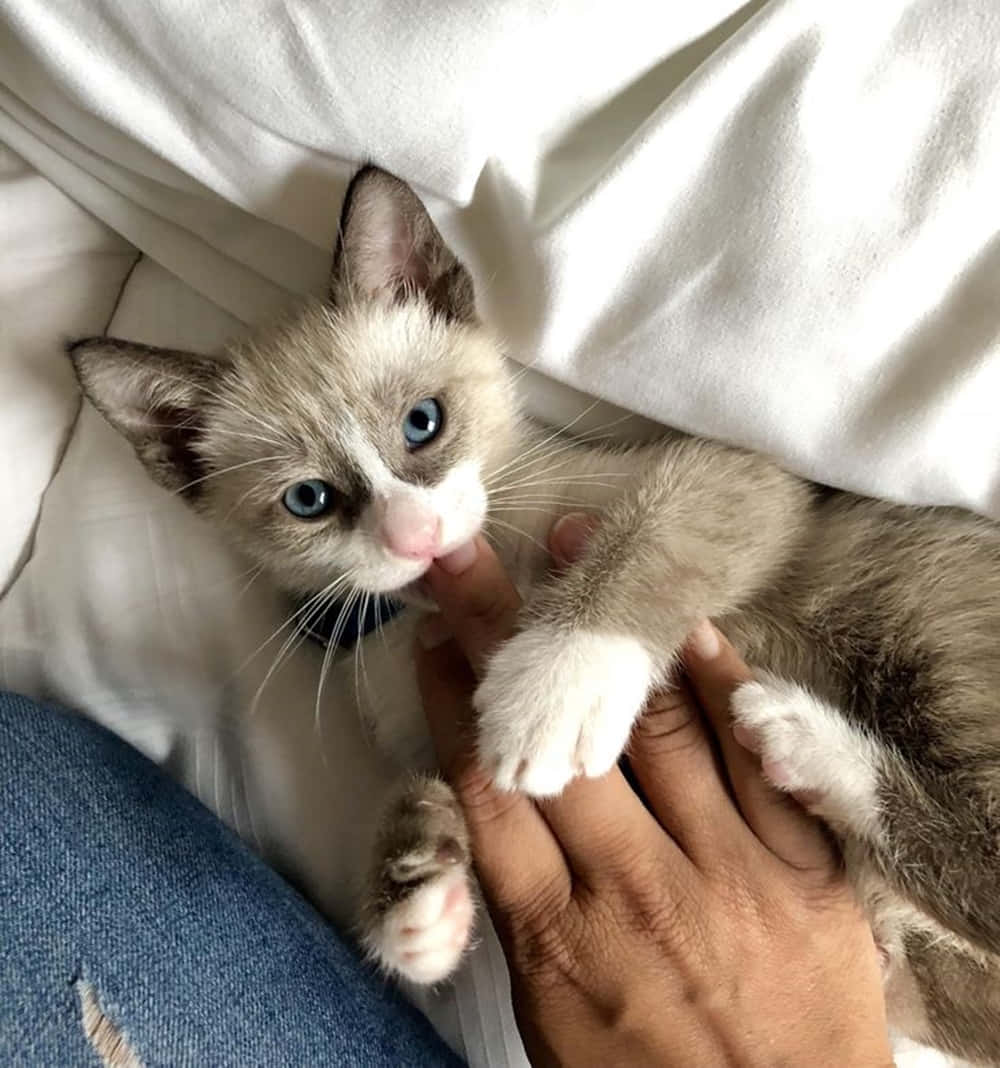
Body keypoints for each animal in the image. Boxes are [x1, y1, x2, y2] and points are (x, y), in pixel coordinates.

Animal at [70, 166, 1000, 1059]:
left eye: (423, 423)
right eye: (309, 500)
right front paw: (413, 899)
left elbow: (653, 534)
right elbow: (432, 793)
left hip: (921, 629)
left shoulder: (747, 480)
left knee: (984, 869)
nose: (414, 535)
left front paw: (558, 682)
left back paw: (800, 740)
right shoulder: (427, 727)